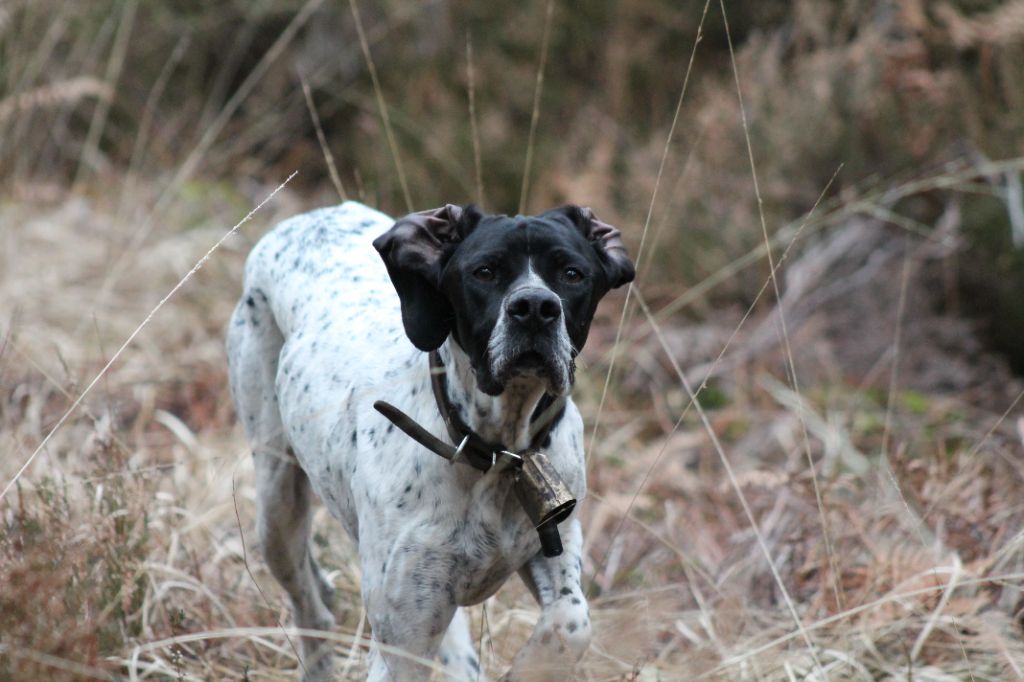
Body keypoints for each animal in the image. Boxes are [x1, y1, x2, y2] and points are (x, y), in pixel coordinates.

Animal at [228, 199, 634, 675]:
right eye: (484, 271)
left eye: (572, 273)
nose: (535, 307)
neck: (497, 452)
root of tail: (311, 217)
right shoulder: (403, 640)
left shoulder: (556, 544)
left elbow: (571, 623)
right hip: (276, 505)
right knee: (311, 605)